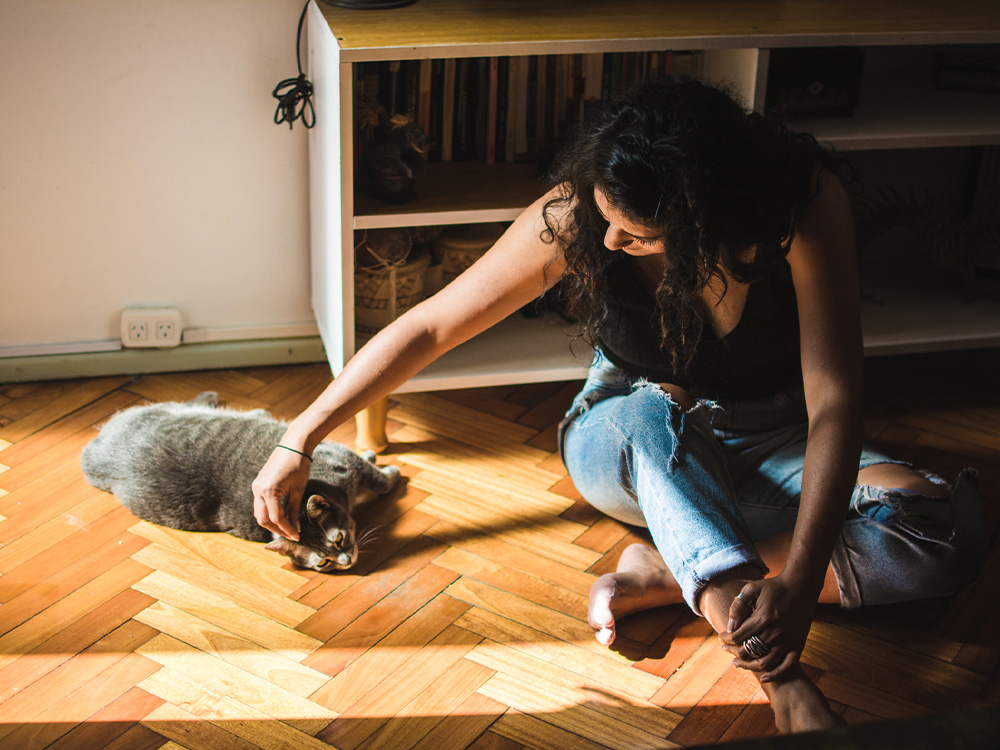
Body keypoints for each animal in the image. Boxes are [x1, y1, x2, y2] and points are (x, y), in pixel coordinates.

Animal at [79, 390, 398, 572]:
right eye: (323, 562)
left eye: (339, 539)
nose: (347, 562)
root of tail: (97, 449)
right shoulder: (342, 458)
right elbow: (379, 478)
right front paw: (389, 470)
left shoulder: (344, 460)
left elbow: (374, 476)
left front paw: (380, 464)